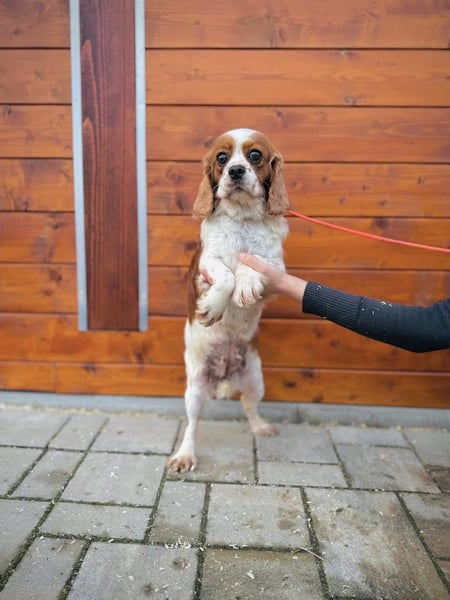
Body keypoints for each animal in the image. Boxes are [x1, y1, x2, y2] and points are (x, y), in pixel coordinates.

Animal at [168, 128, 289, 472]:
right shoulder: (205, 267)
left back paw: (260, 426)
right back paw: (185, 455)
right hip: (195, 389)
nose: (235, 171)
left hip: (255, 380)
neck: (242, 220)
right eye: (222, 158)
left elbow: (251, 263)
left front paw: (246, 284)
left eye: (255, 156)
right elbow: (225, 276)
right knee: (192, 425)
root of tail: (223, 374)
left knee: (249, 407)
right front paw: (213, 307)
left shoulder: (276, 269)